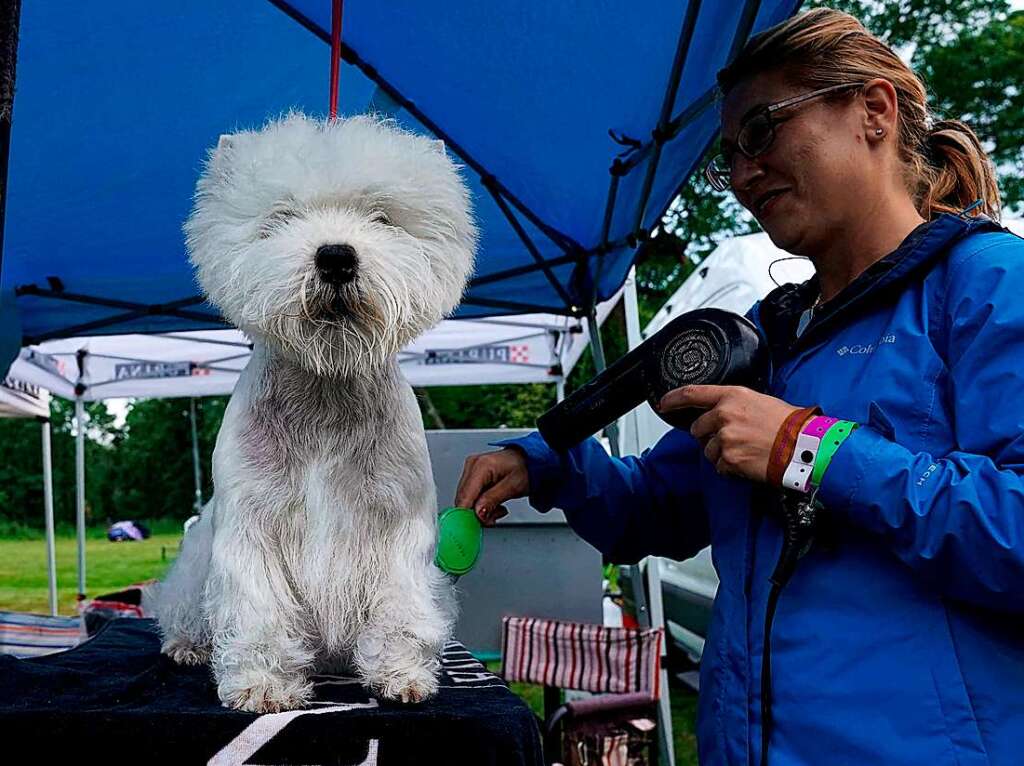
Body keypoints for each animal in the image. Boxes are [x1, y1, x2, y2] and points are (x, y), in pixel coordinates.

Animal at [149, 112, 477, 712]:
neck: (325, 387)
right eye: (281, 218)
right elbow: (258, 612)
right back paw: (187, 646)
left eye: (382, 217)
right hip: (192, 566)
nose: (336, 257)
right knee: (181, 609)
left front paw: (401, 675)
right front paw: (262, 686)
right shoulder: (252, 526)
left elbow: (401, 606)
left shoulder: (397, 527)